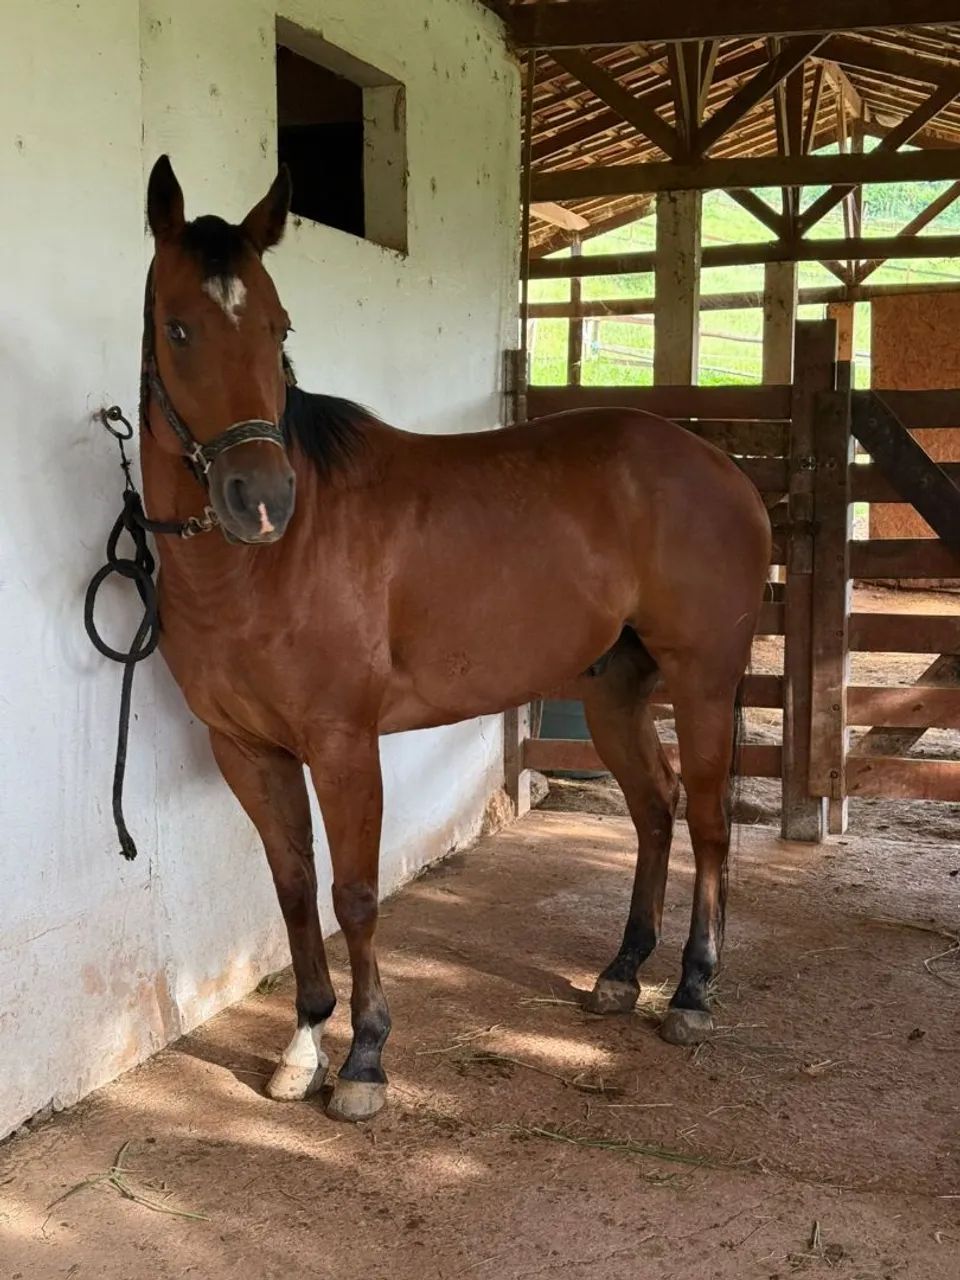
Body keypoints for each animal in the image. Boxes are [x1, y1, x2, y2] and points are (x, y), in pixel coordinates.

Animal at [138, 155, 771, 1122]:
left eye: (279, 327)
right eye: (178, 328)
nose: (262, 500)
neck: (262, 569)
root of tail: (722, 469)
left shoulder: (343, 744)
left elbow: (355, 895)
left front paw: (364, 1061)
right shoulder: (246, 749)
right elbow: (293, 890)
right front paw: (301, 1045)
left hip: (702, 680)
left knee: (705, 821)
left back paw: (694, 990)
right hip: (612, 689)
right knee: (654, 807)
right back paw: (623, 972)